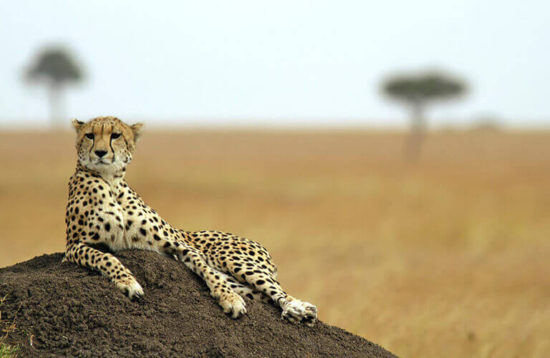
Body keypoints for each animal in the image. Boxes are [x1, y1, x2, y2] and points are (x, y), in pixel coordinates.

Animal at [63, 117, 320, 324]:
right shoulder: (73, 247)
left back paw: (297, 309)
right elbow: (105, 257)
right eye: (90, 135)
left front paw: (230, 300)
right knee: (262, 294)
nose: (100, 153)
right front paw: (129, 283)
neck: (110, 181)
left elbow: (207, 270)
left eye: (115, 135)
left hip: (233, 259)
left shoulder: (179, 246)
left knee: (277, 289)